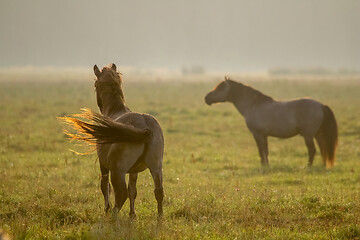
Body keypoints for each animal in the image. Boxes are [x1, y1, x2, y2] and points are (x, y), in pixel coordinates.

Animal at [59, 63, 165, 216]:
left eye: (95, 84)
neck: (115, 110)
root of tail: (145, 125)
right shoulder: (134, 171)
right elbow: (133, 191)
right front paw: (132, 214)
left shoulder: (103, 164)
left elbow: (105, 186)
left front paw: (107, 209)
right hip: (156, 167)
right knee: (158, 192)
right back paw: (160, 217)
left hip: (118, 171)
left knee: (121, 193)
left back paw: (113, 214)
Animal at [205, 77, 338, 167]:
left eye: (220, 88)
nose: (206, 98)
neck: (254, 105)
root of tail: (321, 105)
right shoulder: (264, 135)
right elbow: (266, 150)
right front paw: (267, 166)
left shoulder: (257, 134)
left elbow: (261, 150)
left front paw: (263, 166)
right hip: (318, 134)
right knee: (323, 148)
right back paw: (322, 165)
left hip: (308, 135)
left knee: (312, 150)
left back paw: (308, 166)